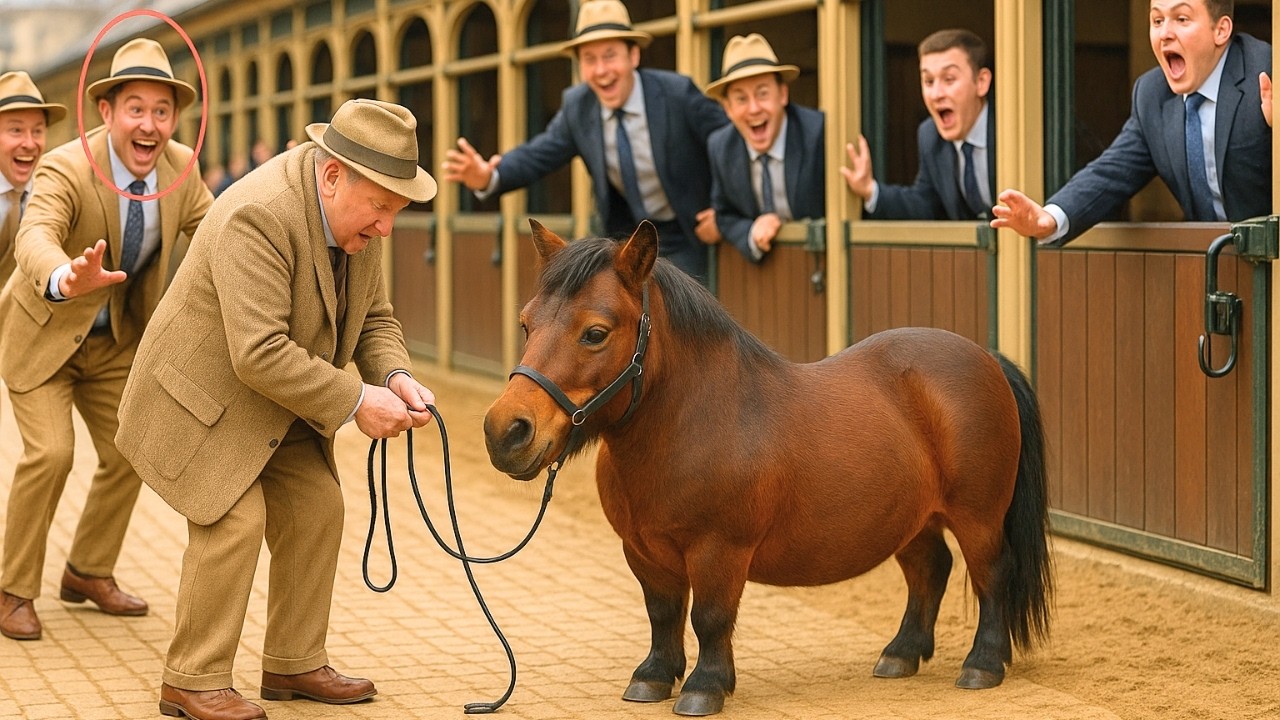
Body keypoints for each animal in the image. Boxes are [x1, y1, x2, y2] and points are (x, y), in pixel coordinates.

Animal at [483, 220, 1053, 716]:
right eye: (526, 322)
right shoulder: (643, 551)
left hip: (977, 517)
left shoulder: (719, 550)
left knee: (992, 573)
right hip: (911, 519)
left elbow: (711, 617)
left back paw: (982, 664)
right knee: (930, 569)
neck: (693, 421)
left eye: (595, 332)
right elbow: (663, 613)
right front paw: (653, 678)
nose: (505, 431)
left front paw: (705, 688)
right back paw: (901, 653)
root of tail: (985, 357)